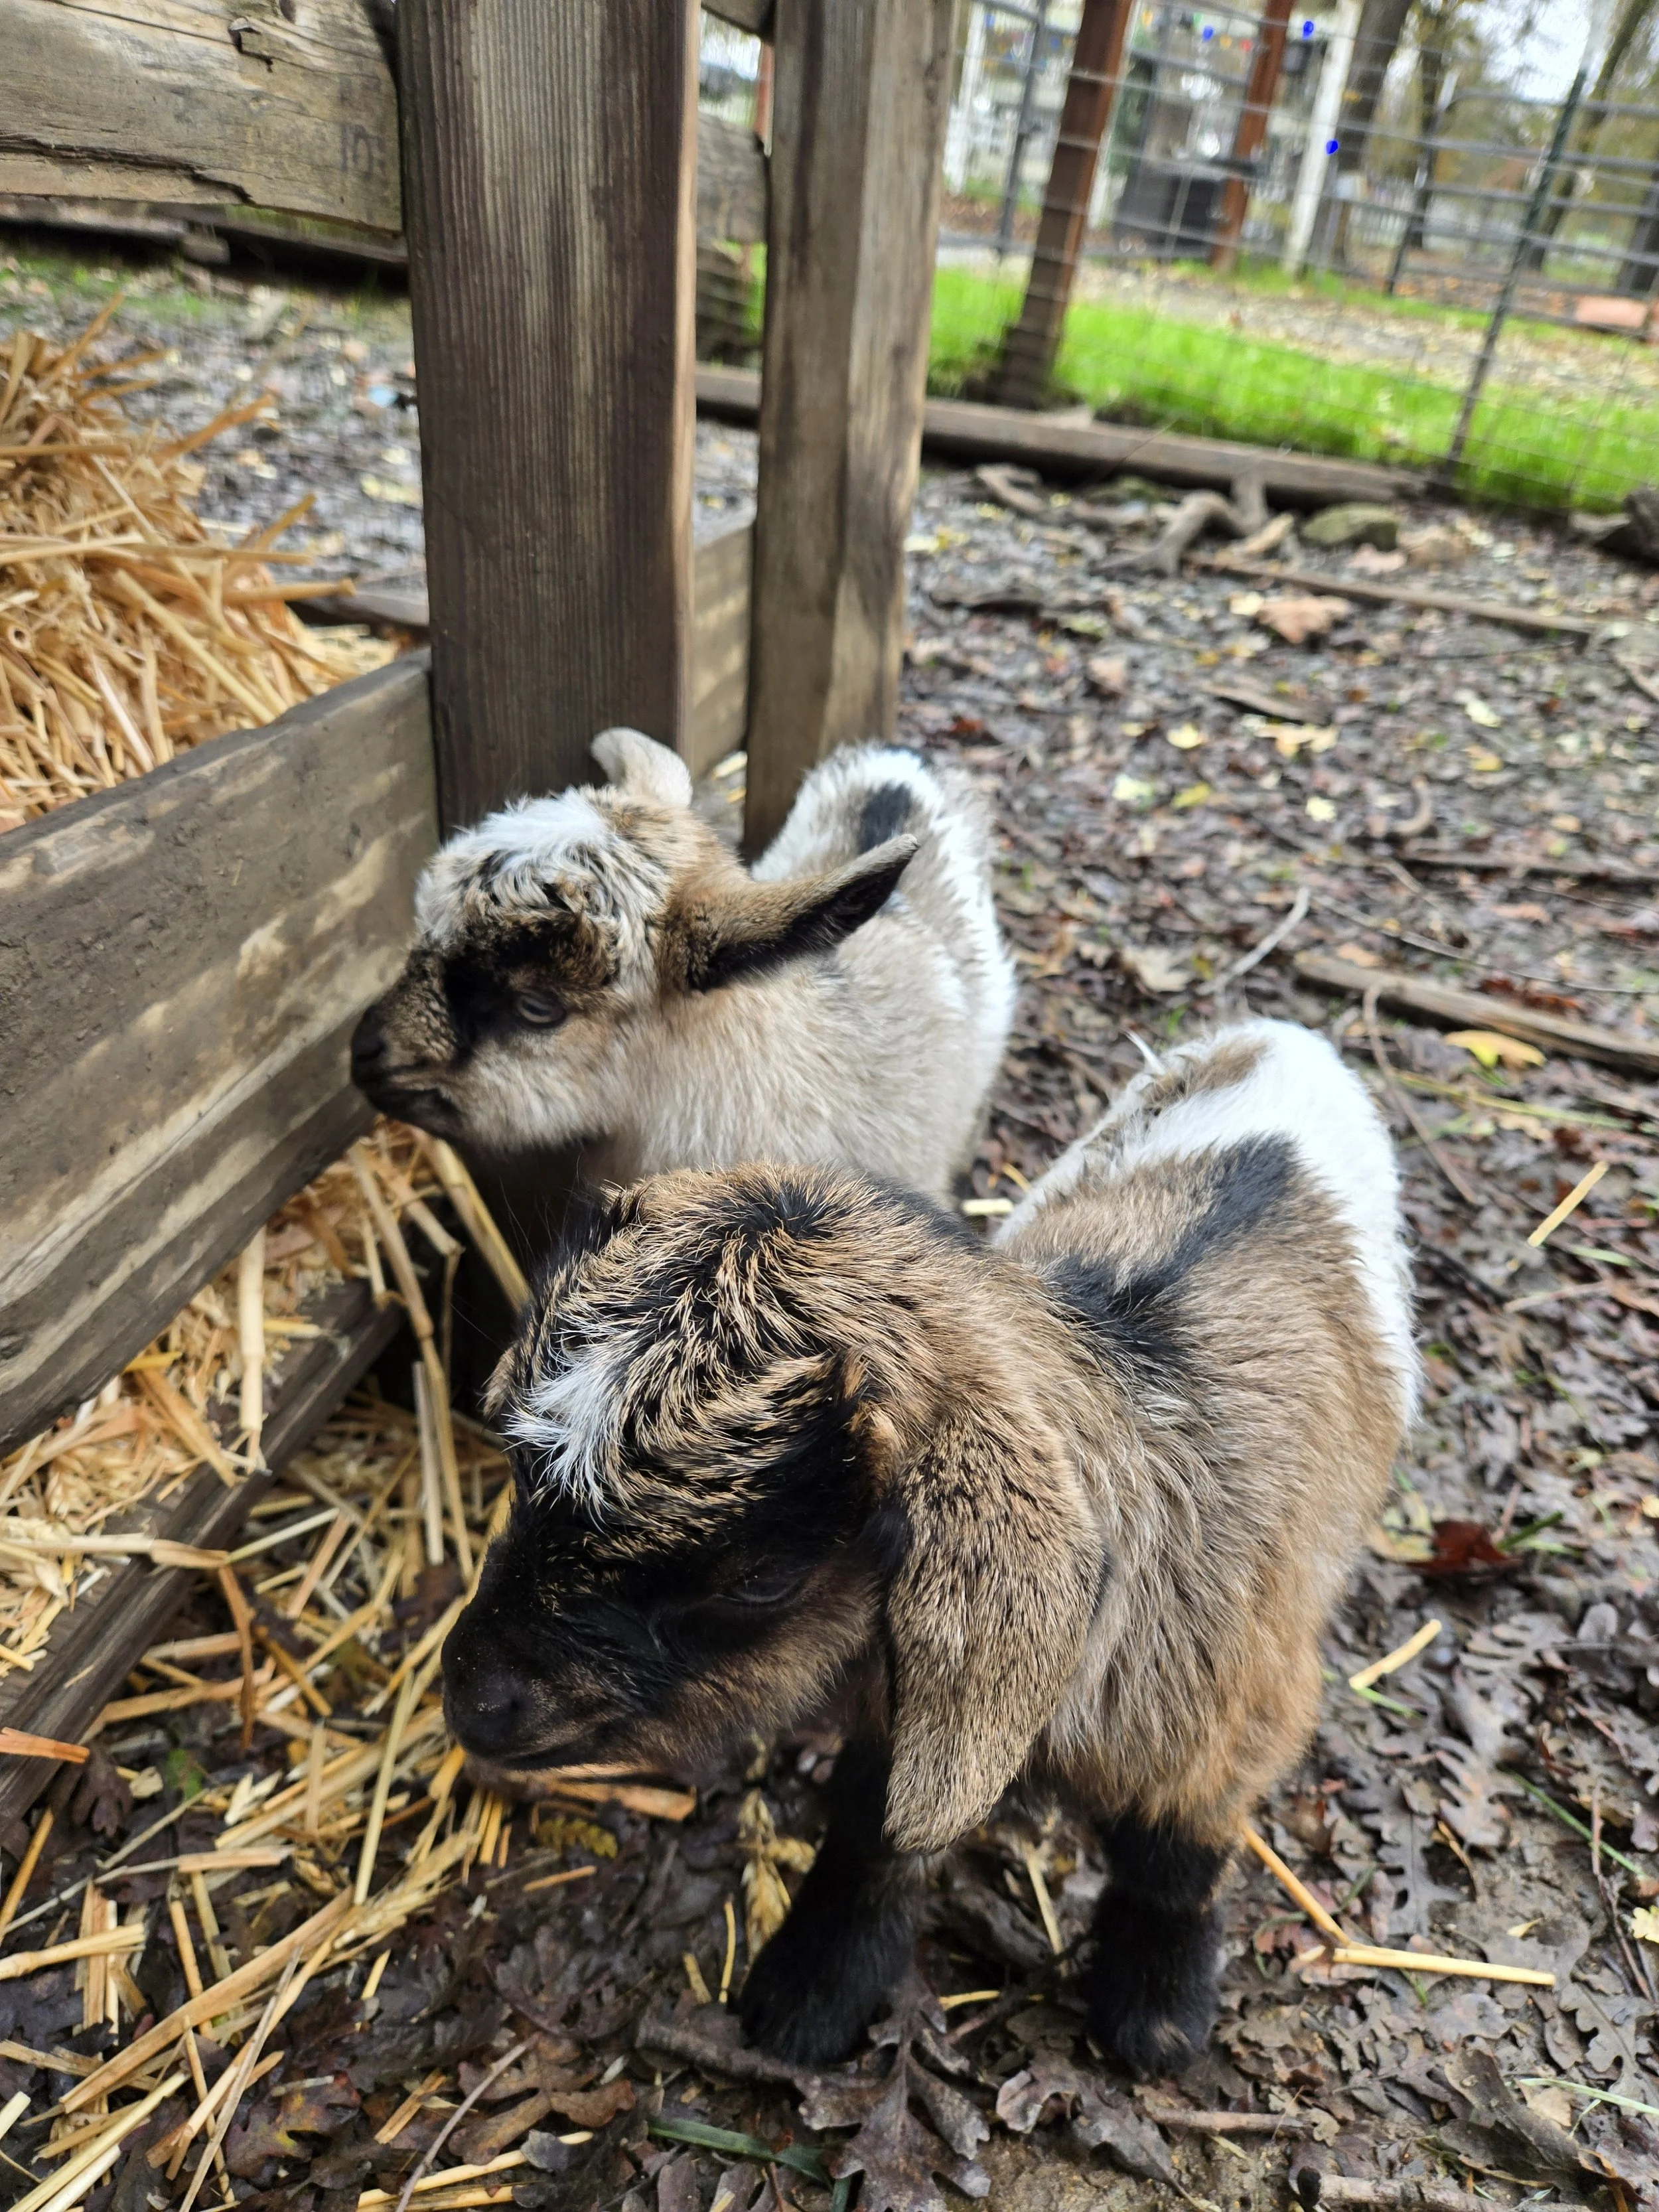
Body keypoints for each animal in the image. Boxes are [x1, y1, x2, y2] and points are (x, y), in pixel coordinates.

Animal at [443, 1018, 1418, 2071]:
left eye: (762, 1577)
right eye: (519, 1475)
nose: (474, 1697)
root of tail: (1287, 1037)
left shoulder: (1224, 1722)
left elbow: (1175, 1862)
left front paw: (1159, 2012)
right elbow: (875, 1834)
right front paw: (813, 1992)